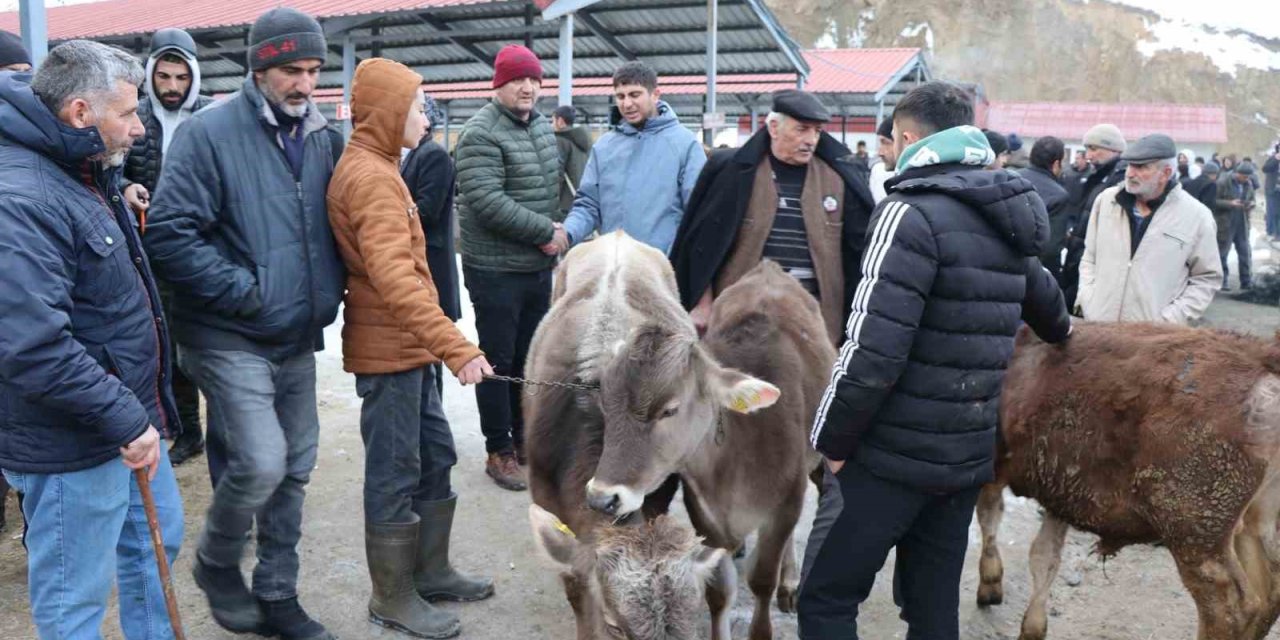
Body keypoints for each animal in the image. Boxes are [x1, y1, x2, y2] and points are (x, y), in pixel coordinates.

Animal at [972, 325, 1280, 640]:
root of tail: (1259, 358)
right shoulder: (1058, 493)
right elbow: (1044, 555)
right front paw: (1032, 624)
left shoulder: (993, 468)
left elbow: (989, 516)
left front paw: (990, 583)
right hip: (1255, 522)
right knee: (1269, 591)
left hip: (1195, 530)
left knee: (1230, 606)